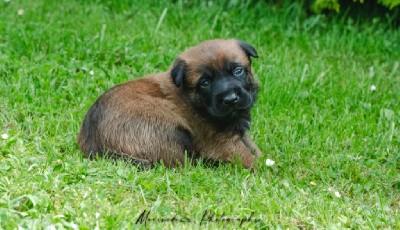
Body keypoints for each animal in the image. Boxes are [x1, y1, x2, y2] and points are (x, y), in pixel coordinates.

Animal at [77, 38, 262, 170]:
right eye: (204, 82)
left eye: (238, 71)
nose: (230, 99)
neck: (192, 99)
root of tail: (97, 146)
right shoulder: (222, 143)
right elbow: (250, 160)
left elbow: (254, 149)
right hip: (171, 128)